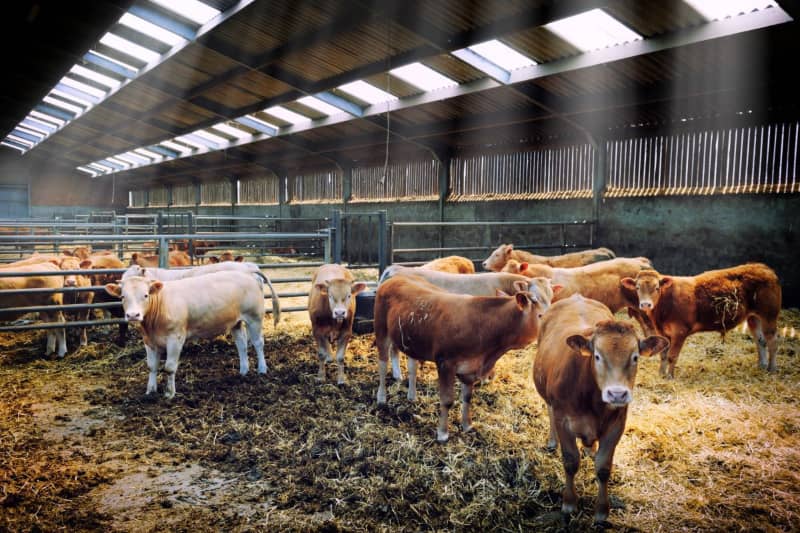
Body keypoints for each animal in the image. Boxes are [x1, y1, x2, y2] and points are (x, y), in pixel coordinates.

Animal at [104, 272, 268, 396]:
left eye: (145, 295)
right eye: (123, 296)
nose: (133, 315)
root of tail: (249, 275)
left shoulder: (175, 338)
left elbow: (169, 367)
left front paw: (169, 393)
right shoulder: (148, 341)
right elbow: (151, 366)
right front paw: (150, 391)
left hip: (254, 317)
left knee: (258, 343)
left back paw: (262, 370)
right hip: (236, 323)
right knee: (241, 345)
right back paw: (243, 371)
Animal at [376, 272, 544, 442]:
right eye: (540, 315)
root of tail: (397, 276)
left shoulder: (470, 368)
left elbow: (467, 397)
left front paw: (467, 425)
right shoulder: (445, 363)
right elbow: (447, 400)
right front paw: (443, 433)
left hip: (411, 339)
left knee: (412, 367)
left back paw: (411, 396)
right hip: (381, 330)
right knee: (382, 364)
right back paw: (381, 397)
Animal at [536, 294, 672, 520]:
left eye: (635, 357)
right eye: (597, 356)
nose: (617, 394)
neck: (592, 402)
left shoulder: (616, 425)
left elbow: (603, 467)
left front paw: (601, 511)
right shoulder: (563, 420)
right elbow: (570, 461)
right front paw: (569, 503)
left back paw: (590, 449)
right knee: (549, 411)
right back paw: (552, 441)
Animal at [620, 264, 780, 376]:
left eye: (657, 287)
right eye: (637, 287)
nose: (645, 304)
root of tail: (763, 268)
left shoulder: (680, 332)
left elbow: (672, 356)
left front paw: (669, 377)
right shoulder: (662, 332)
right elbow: (663, 355)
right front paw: (661, 374)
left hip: (769, 315)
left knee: (773, 341)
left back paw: (772, 369)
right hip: (753, 317)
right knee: (760, 341)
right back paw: (761, 365)